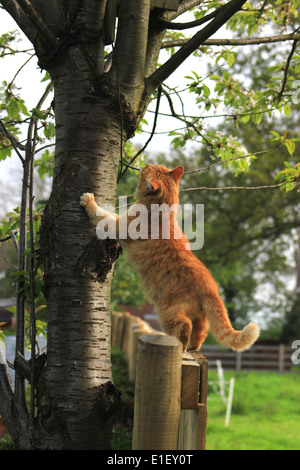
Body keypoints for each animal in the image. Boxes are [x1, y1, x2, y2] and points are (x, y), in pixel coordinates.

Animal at [81, 163, 258, 350]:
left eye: (148, 169)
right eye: (156, 166)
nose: (146, 164)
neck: (162, 212)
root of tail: (211, 288)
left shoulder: (117, 226)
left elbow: (102, 215)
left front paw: (88, 200)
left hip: (168, 313)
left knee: (184, 327)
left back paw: (181, 345)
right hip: (200, 319)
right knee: (200, 334)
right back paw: (192, 348)